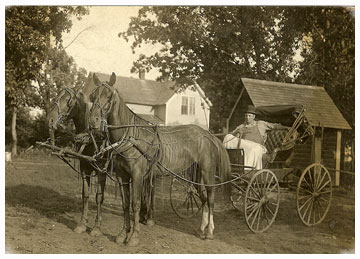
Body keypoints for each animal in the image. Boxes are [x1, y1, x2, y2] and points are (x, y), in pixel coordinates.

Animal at [87, 72, 232, 246]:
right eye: (92, 96)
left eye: (108, 96)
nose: (93, 121)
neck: (131, 138)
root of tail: (208, 135)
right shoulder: (122, 176)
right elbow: (125, 204)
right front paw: (123, 234)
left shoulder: (137, 176)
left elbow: (135, 204)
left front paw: (134, 236)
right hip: (195, 175)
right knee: (203, 198)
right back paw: (201, 229)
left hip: (208, 172)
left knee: (210, 199)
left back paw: (210, 231)